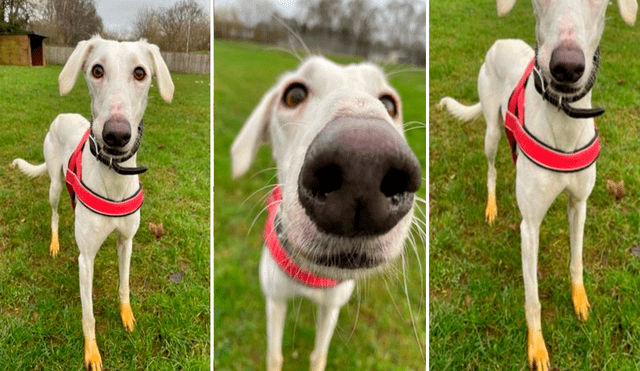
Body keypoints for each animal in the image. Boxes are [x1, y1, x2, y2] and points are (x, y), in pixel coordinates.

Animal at [11, 35, 174, 371]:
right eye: (97, 70)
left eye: (141, 73)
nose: (116, 135)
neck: (114, 176)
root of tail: (62, 117)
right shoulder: (85, 260)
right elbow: (88, 315)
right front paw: (92, 352)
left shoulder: (127, 241)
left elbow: (124, 286)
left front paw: (127, 317)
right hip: (55, 185)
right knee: (55, 215)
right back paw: (55, 243)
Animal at [231, 56, 424, 371]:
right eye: (294, 95)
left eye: (389, 104)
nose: (364, 163)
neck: (310, 274)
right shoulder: (275, 299)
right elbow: (274, 355)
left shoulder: (331, 306)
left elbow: (318, 354)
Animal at [442, 0, 636, 371]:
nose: (567, 67)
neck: (564, 120)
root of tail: (500, 42)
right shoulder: (529, 227)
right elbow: (532, 299)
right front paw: (537, 347)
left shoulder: (579, 205)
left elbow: (576, 261)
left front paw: (580, 301)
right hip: (491, 131)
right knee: (491, 169)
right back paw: (491, 206)